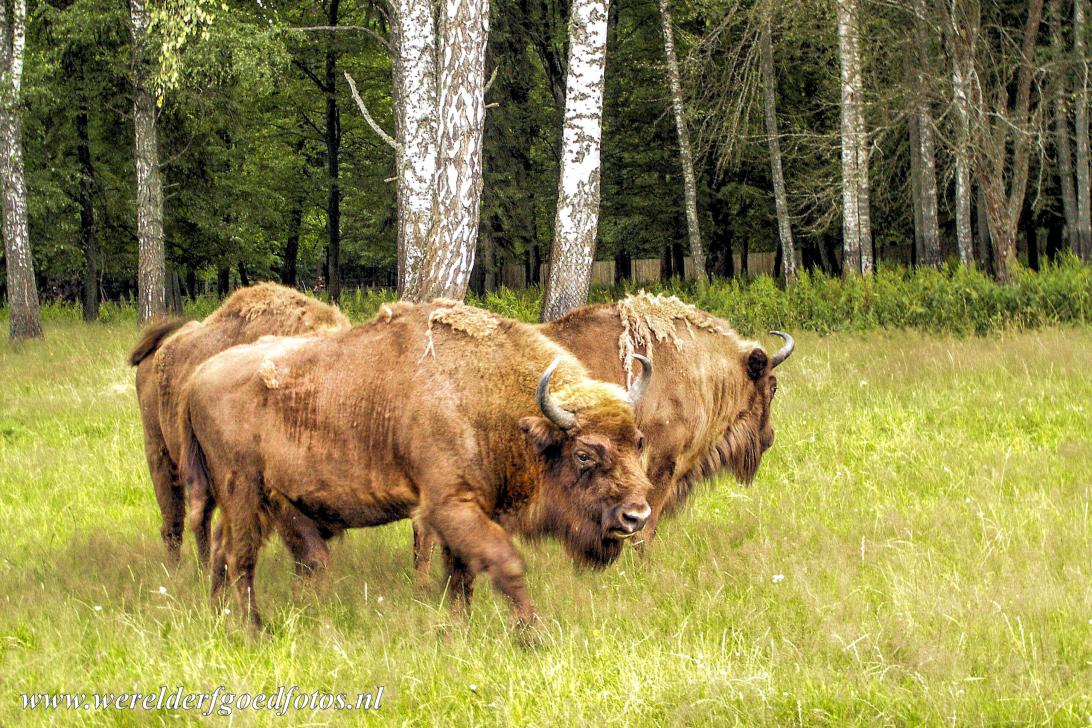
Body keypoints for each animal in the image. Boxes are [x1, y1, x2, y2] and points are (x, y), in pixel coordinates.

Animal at [180, 301, 655, 633]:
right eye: (584, 454)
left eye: (638, 441)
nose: (636, 516)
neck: (484, 398)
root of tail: (198, 377)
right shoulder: (449, 506)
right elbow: (505, 564)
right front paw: (532, 636)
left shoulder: (469, 513)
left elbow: (462, 579)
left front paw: (457, 631)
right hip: (243, 490)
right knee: (240, 556)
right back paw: (253, 629)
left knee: (224, 549)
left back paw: (218, 615)